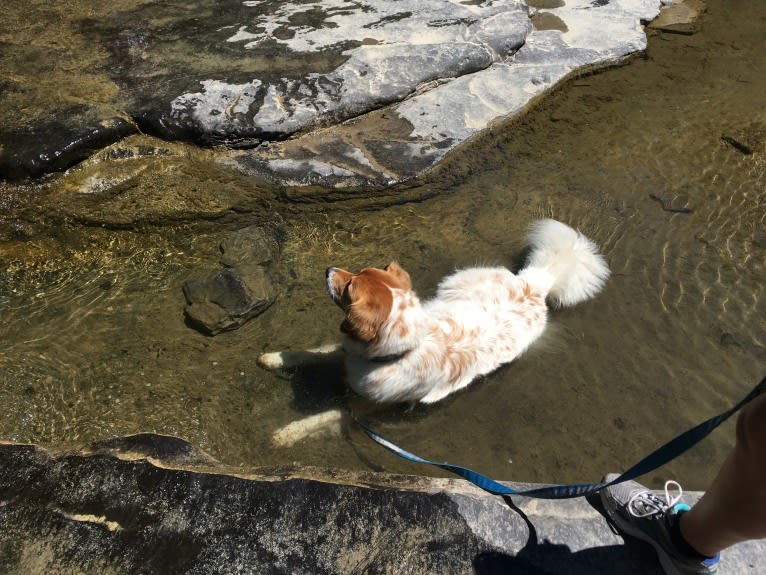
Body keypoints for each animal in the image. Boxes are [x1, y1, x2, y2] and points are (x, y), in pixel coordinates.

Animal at [260, 220, 608, 446]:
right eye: (357, 272)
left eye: (348, 286)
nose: (329, 269)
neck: (397, 353)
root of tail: (535, 283)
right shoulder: (347, 352)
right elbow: (312, 352)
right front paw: (274, 358)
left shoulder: (363, 410)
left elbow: (324, 415)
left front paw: (285, 434)